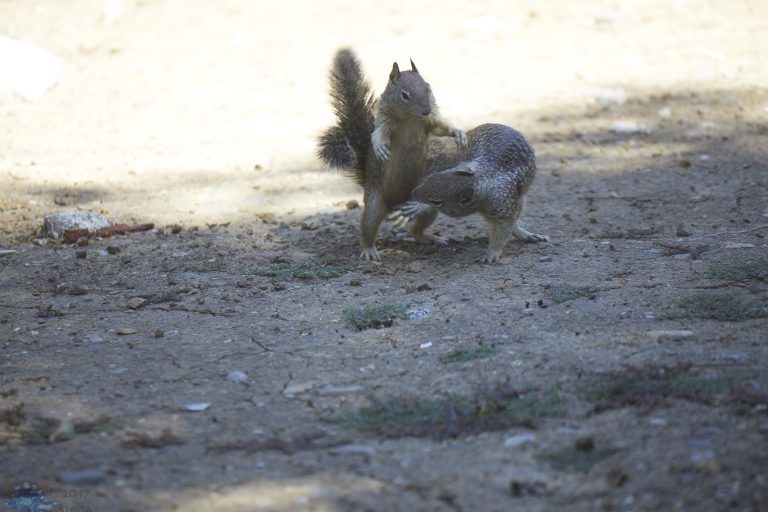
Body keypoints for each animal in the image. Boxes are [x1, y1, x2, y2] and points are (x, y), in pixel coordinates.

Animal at [317, 48, 467, 261]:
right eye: (404, 95)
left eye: (428, 87)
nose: (426, 109)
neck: (411, 118)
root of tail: (394, 206)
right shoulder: (386, 122)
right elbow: (379, 134)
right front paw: (380, 147)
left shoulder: (430, 122)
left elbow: (442, 127)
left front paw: (458, 133)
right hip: (374, 204)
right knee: (368, 228)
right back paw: (369, 250)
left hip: (427, 202)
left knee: (416, 230)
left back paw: (431, 238)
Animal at [394, 123, 548, 263]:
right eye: (430, 178)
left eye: (436, 201)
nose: (414, 193)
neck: (482, 179)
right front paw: (416, 206)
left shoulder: (503, 204)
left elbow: (503, 230)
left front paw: (491, 254)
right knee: (415, 231)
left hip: (520, 200)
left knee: (515, 222)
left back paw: (527, 235)